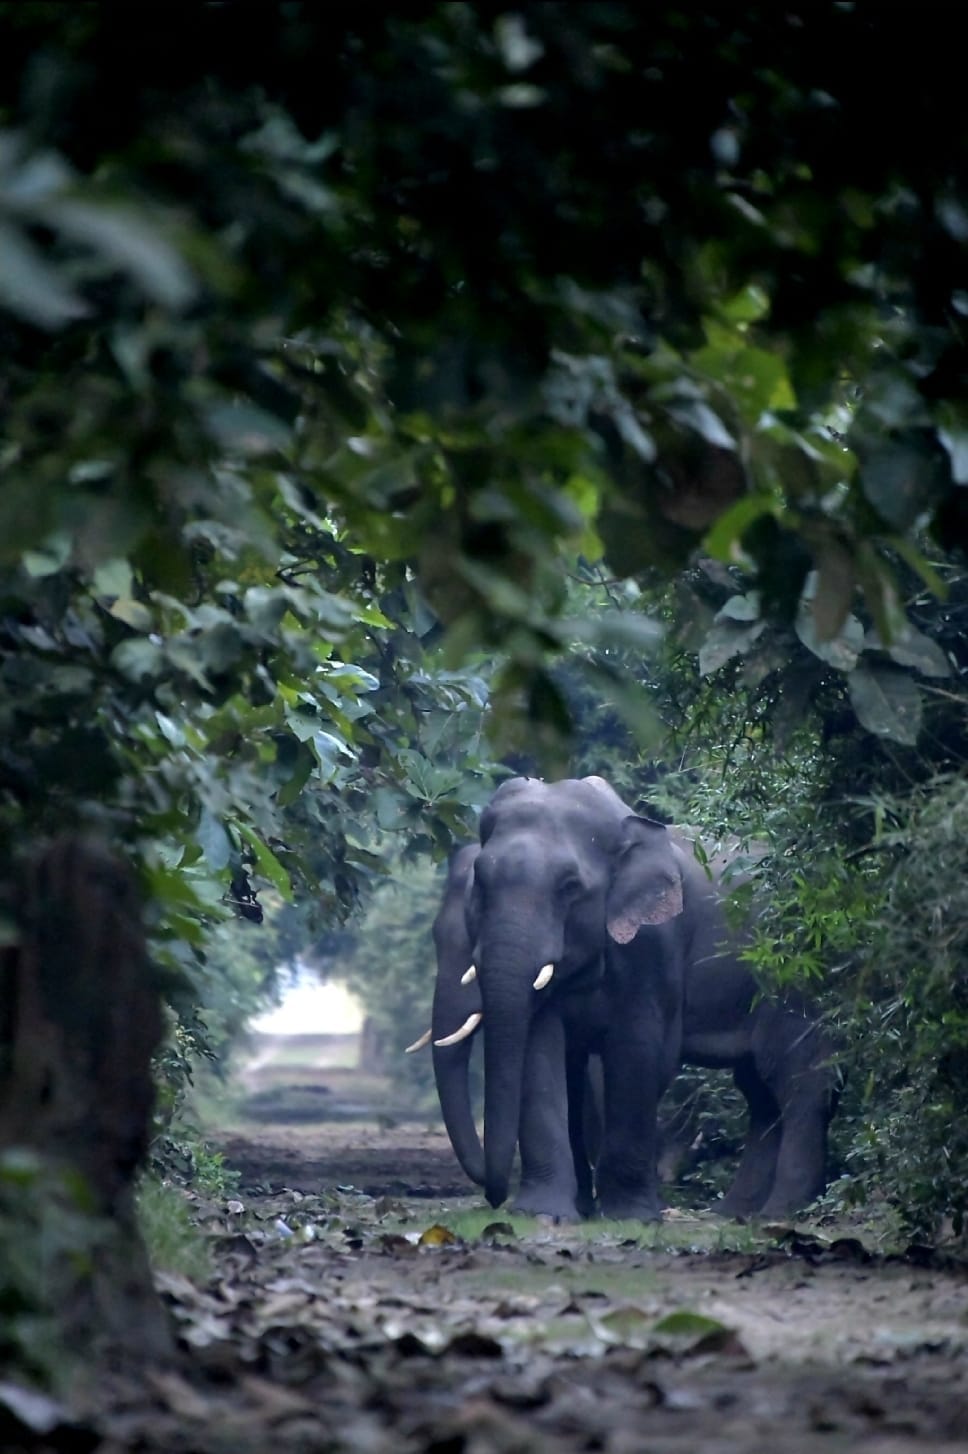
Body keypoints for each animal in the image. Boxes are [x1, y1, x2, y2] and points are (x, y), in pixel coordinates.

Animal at [419, 775, 837, 1222]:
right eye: (481, 884)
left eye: (570, 887)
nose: (496, 1200)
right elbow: (542, 1052)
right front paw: (546, 1214)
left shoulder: (655, 943)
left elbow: (638, 1049)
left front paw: (630, 1215)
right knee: (760, 1092)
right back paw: (734, 1213)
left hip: (798, 972)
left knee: (796, 1078)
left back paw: (777, 1214)